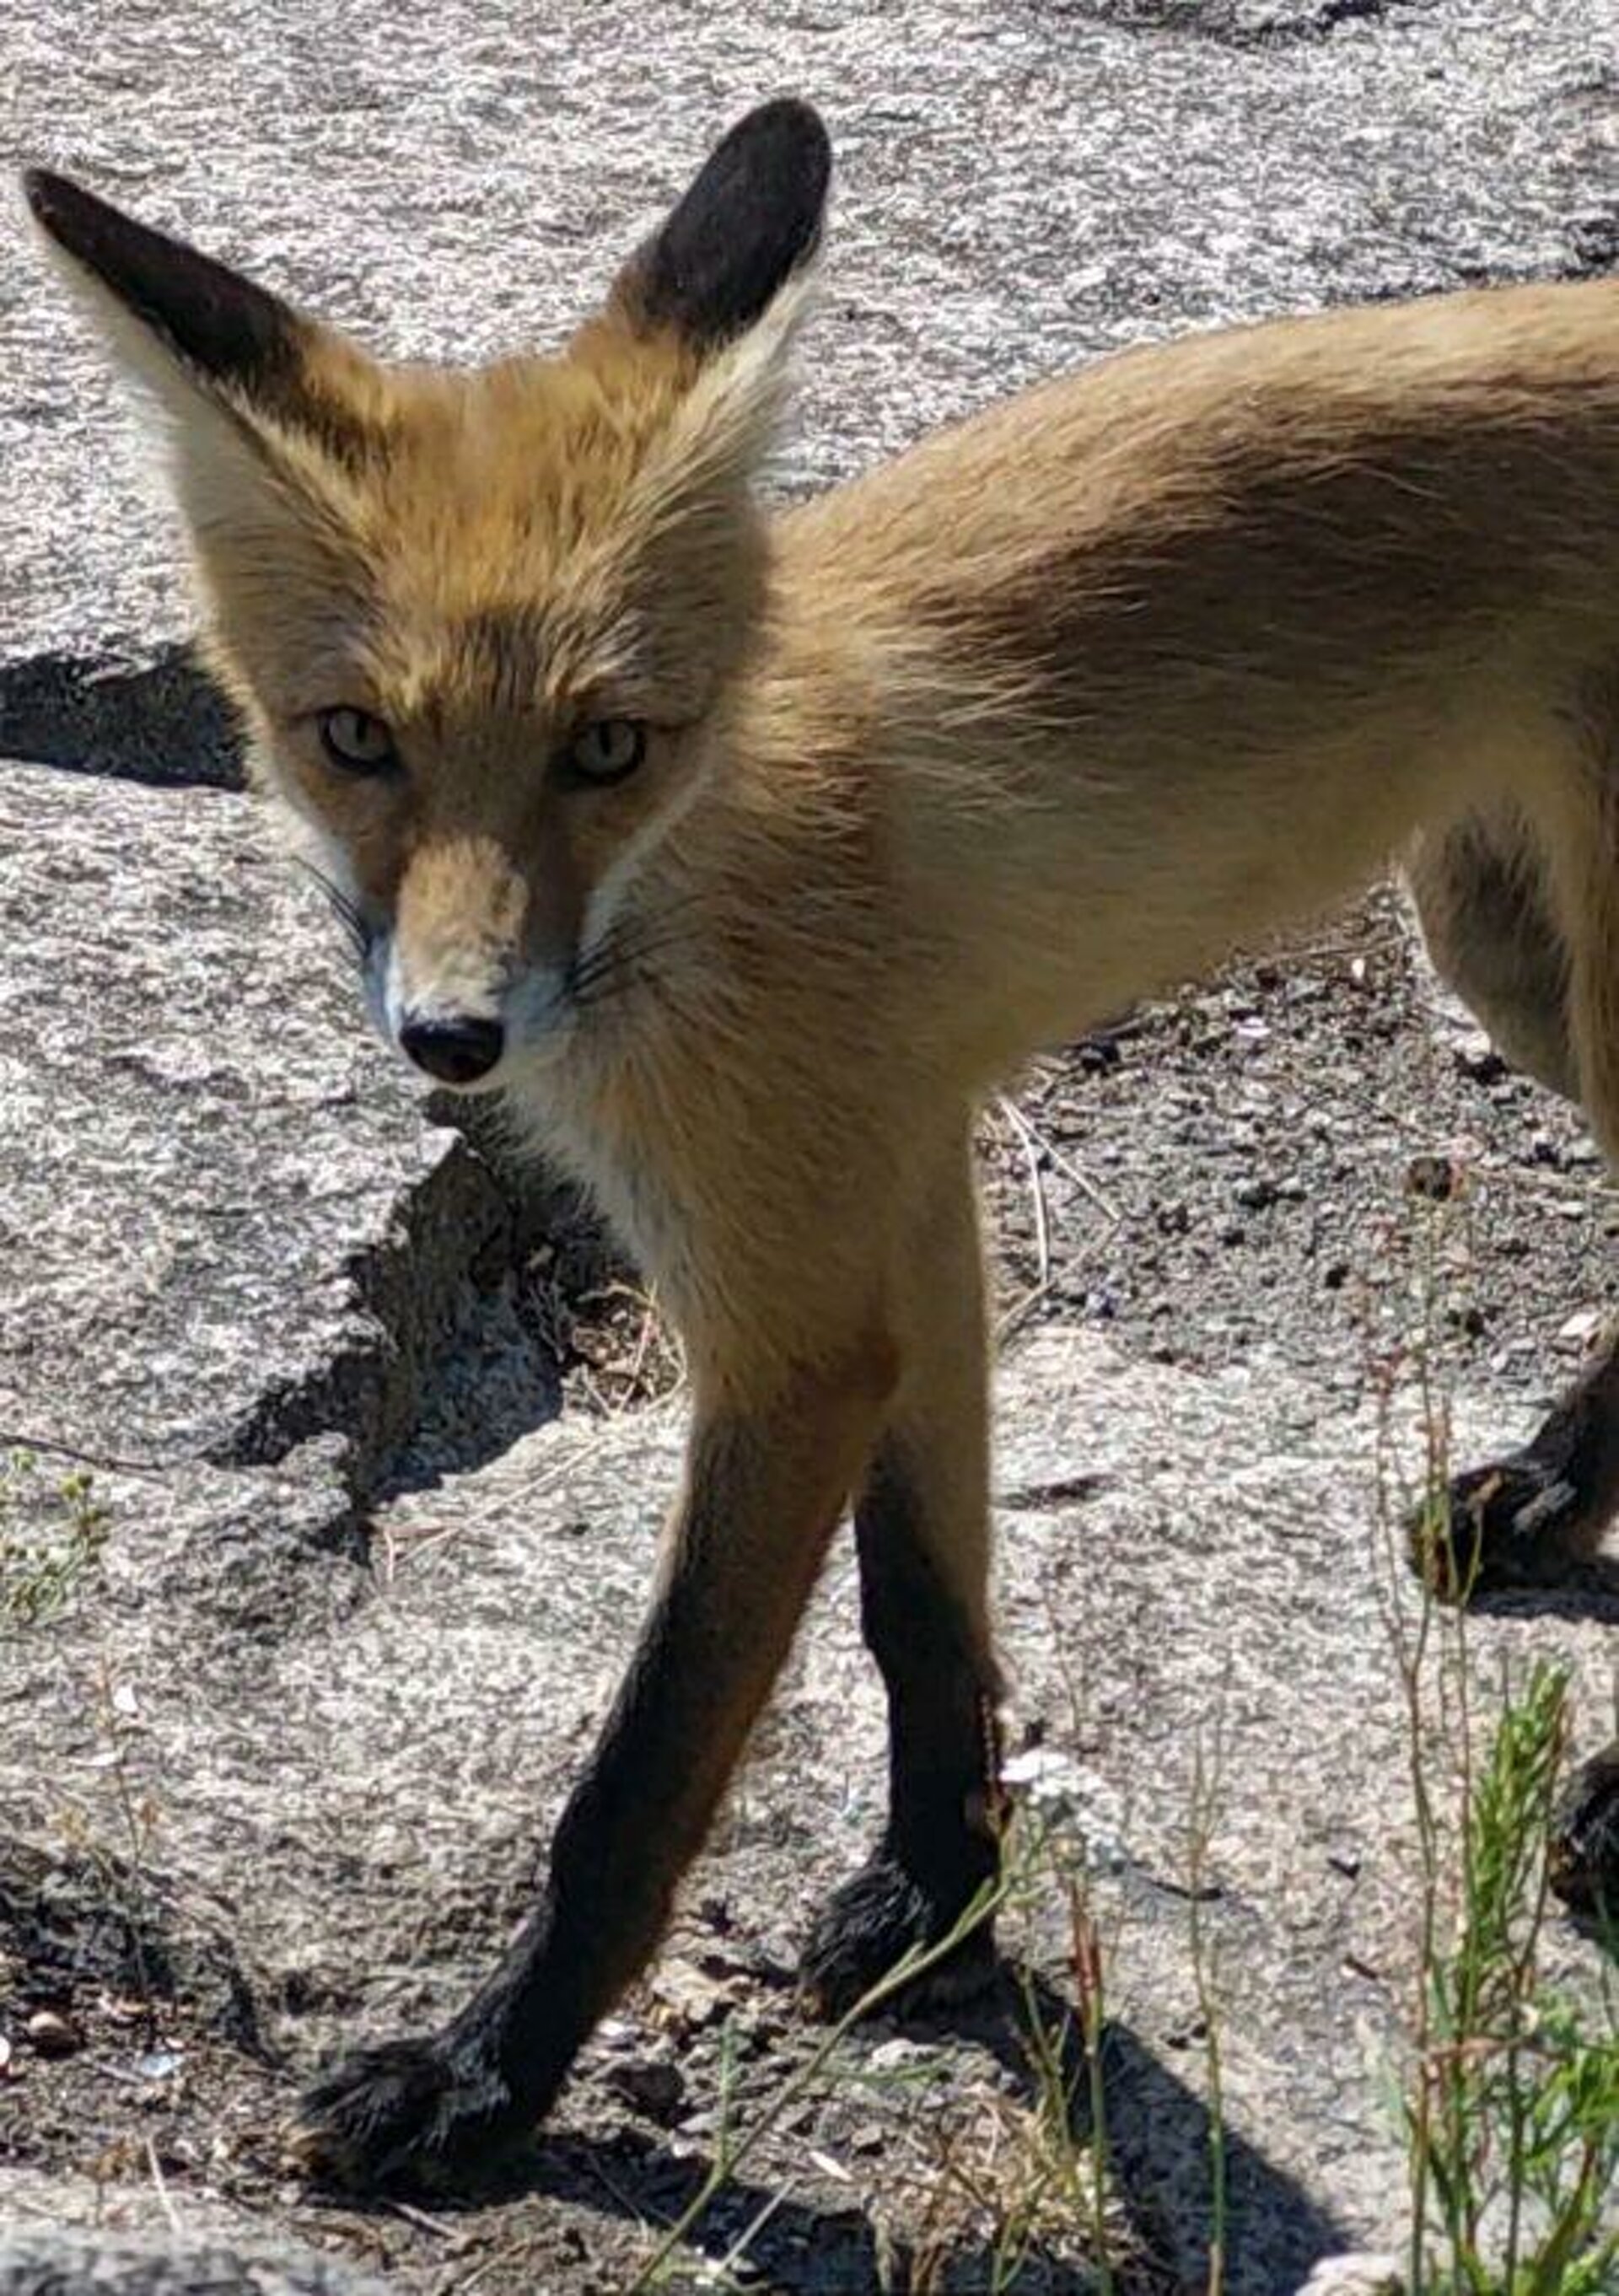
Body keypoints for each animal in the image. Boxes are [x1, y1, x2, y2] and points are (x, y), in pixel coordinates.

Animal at [24, 103, 1616, 2186]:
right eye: (353, 736)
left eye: (607, 745)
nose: (454, 1034)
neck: (723, 870)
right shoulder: (902, 1191)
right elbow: (922, 1610)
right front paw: (945, 1899)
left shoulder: (787, 1309)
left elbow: (639, 1771)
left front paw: (484, 2073)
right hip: (1513, 967)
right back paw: (1553, 1492)